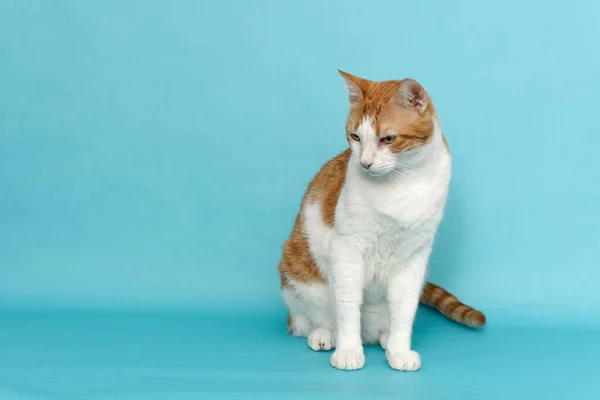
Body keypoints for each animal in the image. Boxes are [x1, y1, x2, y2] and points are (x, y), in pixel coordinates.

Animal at [278, 69, 486, 372]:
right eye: (355, 136)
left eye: (387, 139)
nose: (365, 163)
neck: (403, 182)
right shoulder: (347, 250)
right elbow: (347, 305)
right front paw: (348, 350)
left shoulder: (414, 258)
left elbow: (405, 310)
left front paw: (400, 350)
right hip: (300, 276)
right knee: (306, 319)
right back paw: (325, 334)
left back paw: (386, 338)